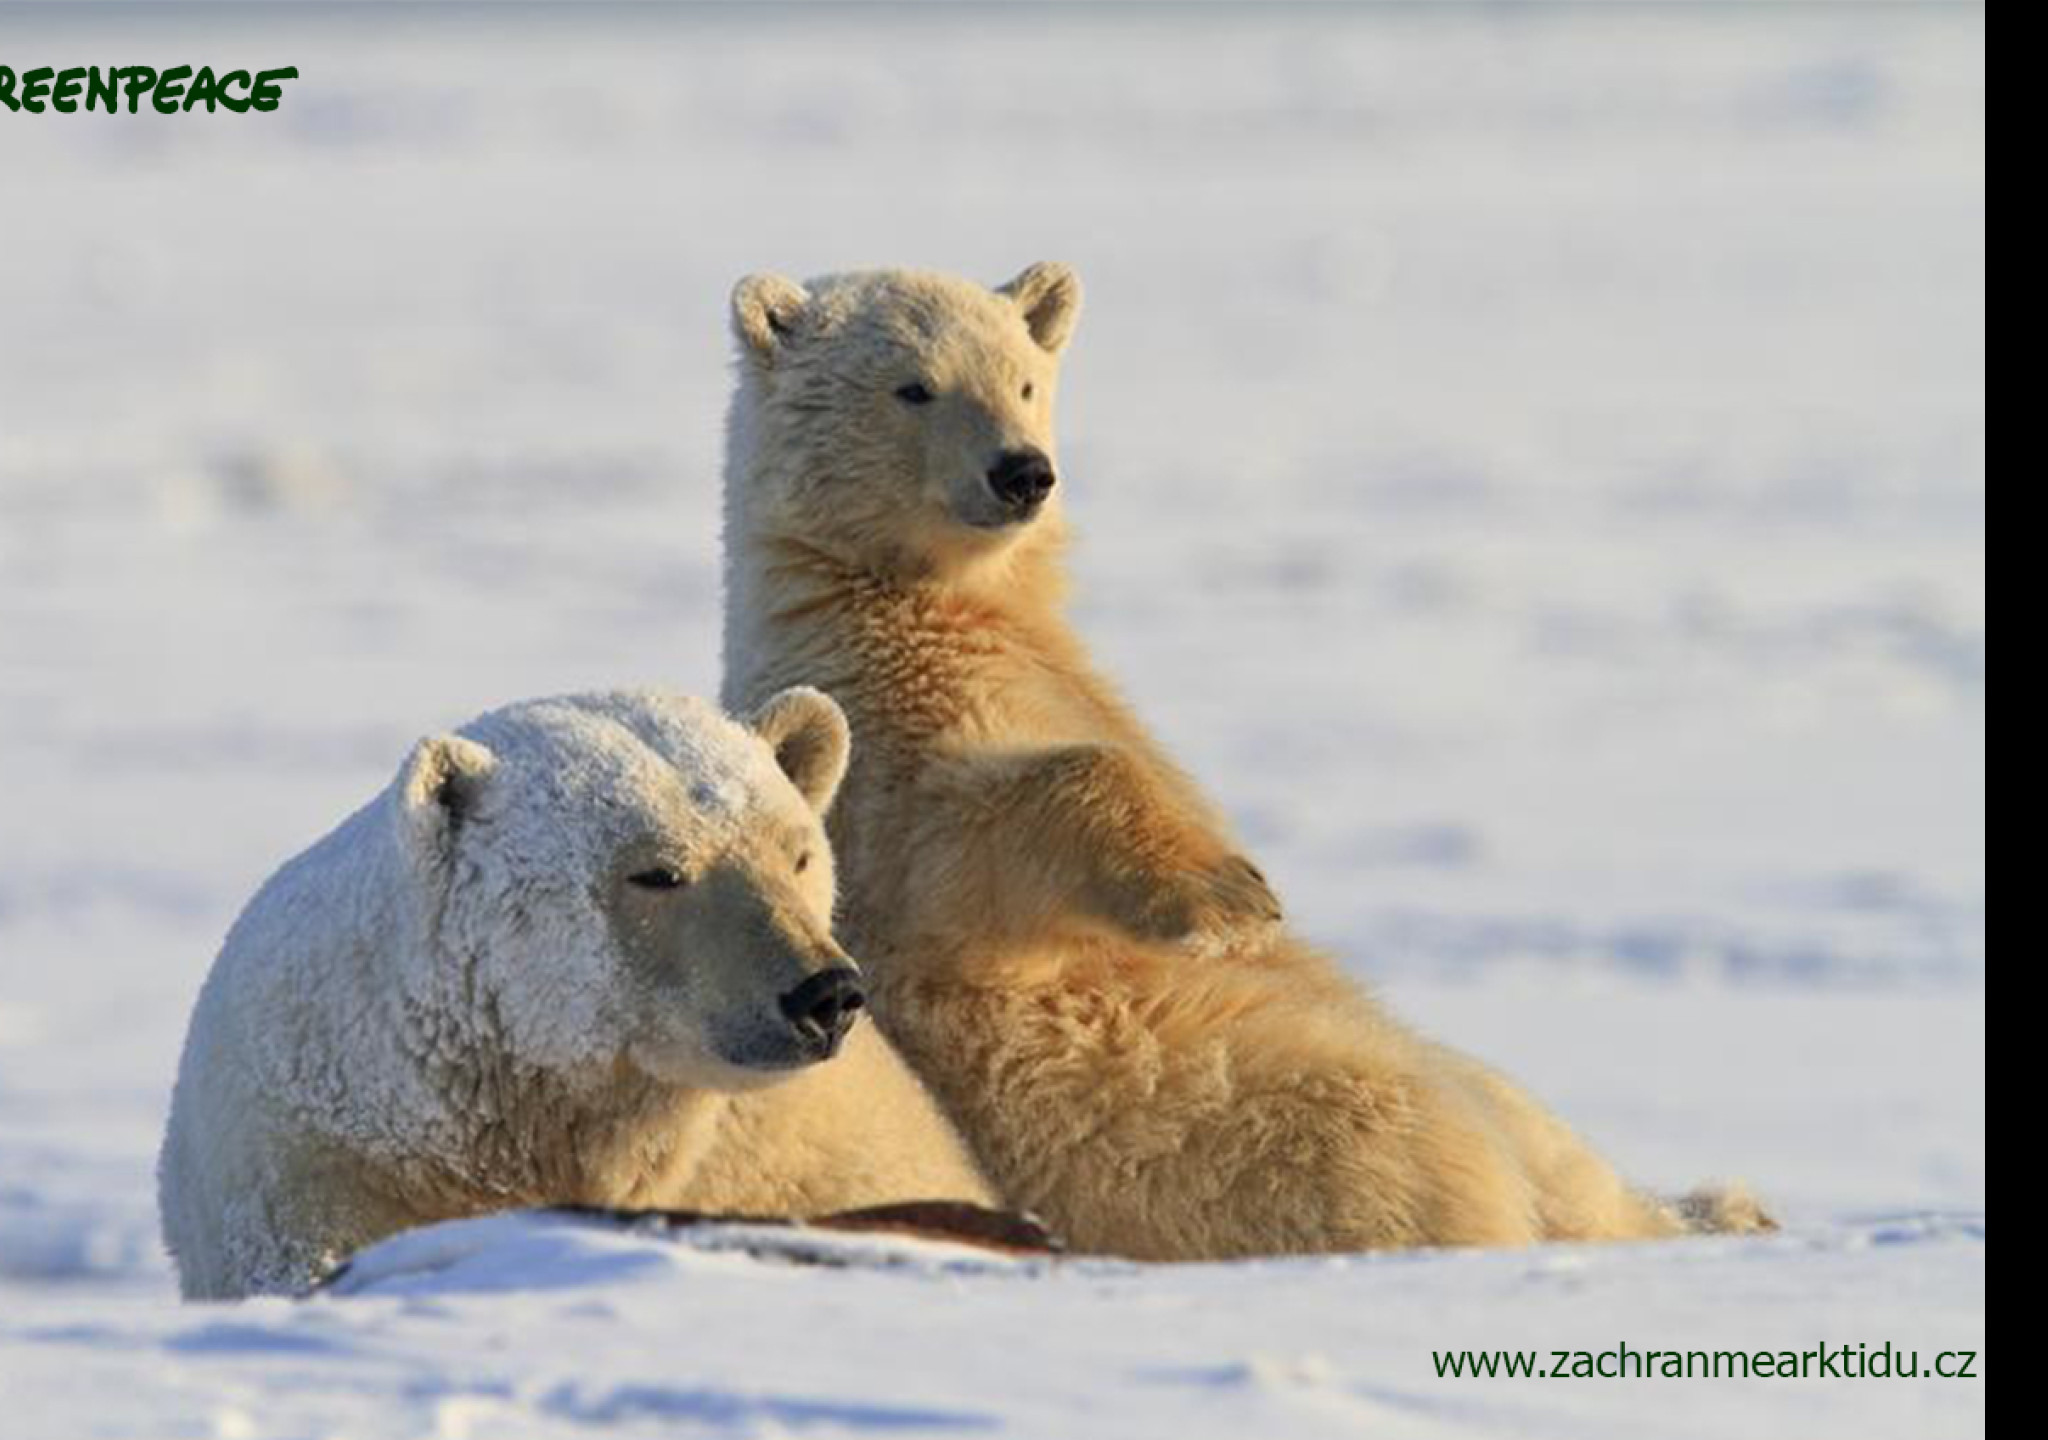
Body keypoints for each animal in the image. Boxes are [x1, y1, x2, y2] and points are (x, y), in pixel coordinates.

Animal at [716, 268, 1761, 1261]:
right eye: (915, 386)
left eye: (1022, 379)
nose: (1023, 472)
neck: (899, 604)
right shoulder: (879, 753)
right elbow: (980, 839)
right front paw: (1230, 894)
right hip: (1232, 1108)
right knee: (1404, 1139)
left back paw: (1724, 1209)